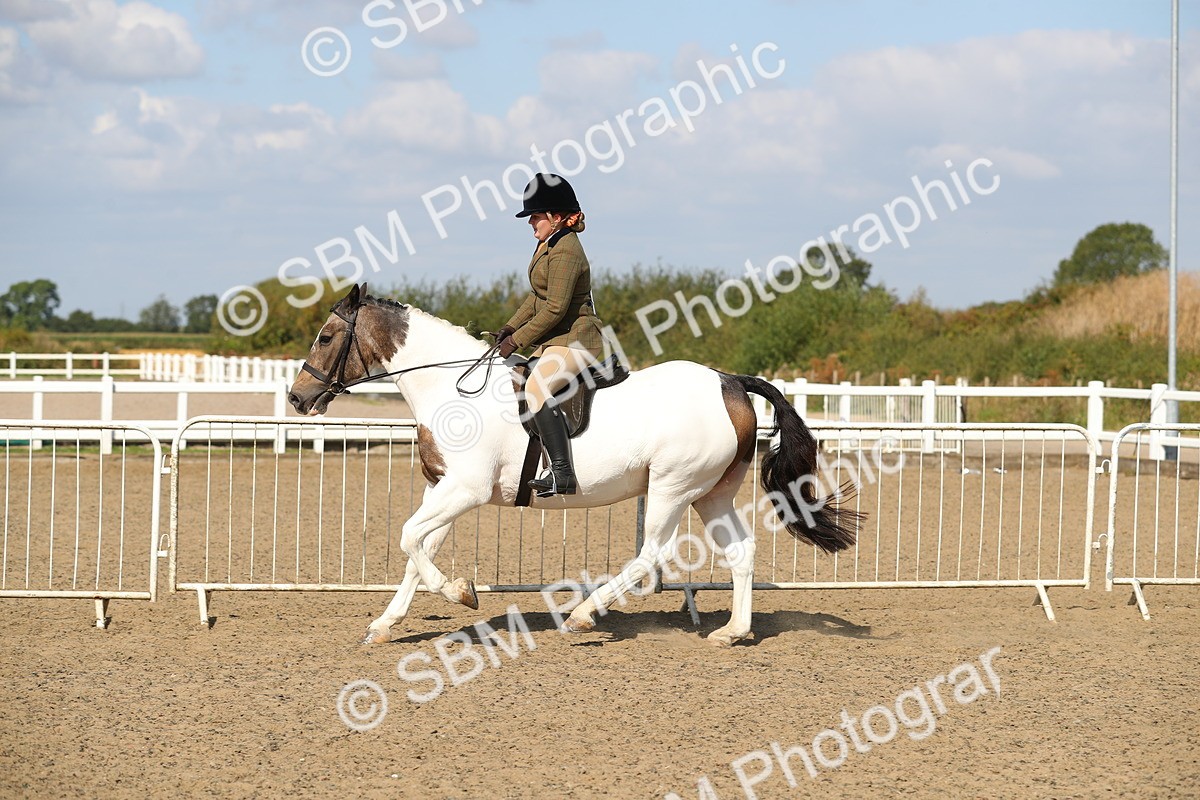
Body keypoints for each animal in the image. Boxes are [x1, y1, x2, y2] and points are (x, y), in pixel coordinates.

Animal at [287, 284, 858, 646]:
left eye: (325, 336)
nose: (297, 399)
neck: (449, 388)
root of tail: (729, 381)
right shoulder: (443, 489)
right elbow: (417, 549)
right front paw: (386, 624)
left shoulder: (464, 490)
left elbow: (409, 538)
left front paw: (461, 593)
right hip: (711, 492)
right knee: (740, 552)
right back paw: (733, 633)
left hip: (672, 487)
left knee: (651, 555)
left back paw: (584, 615)